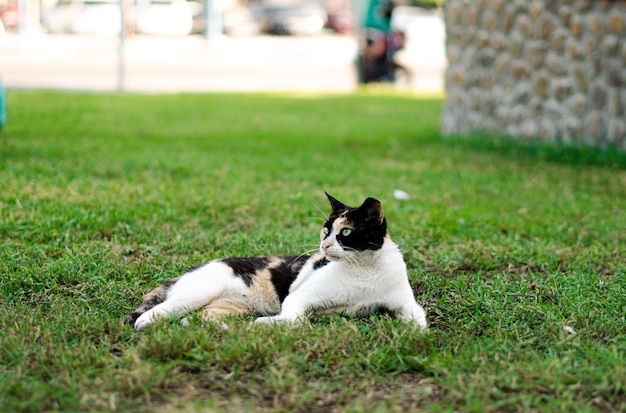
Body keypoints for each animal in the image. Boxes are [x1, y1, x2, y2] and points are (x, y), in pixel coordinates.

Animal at [126, 192, 424, 330]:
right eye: (325, 230)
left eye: (347, 232)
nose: (324, 245)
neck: (365, 269)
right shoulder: (299, 297)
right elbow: (295, 318)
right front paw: (268, 324)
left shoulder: (405, 303)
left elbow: (419, 319)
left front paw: (415, 337)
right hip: (199, 292)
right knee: (165, 309)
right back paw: (146, 323)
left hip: (227, 308)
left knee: (193, 319)